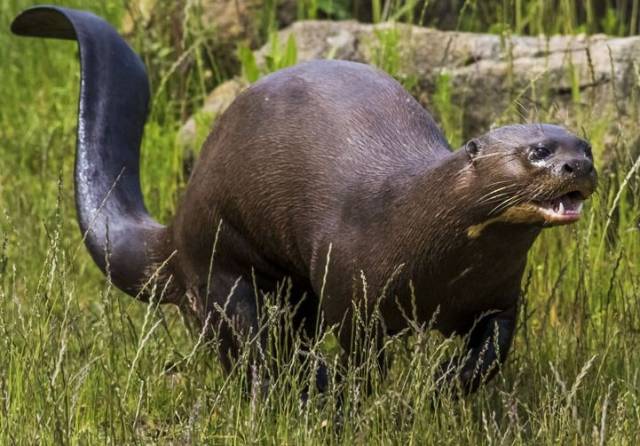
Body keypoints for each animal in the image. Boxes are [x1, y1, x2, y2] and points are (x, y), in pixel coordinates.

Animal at [12, 6, 596, 394]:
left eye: (585, 145)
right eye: (538, 151)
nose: (580, 166)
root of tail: (176, 227)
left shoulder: (498, 294)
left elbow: (493, 347)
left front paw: (444, 385)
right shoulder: (353, 285)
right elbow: (363, 356)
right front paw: (368, 396)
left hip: (289, 284)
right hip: (217, 261)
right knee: (247, 342)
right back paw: (300, 385)